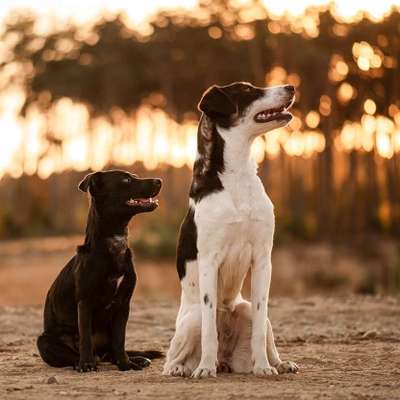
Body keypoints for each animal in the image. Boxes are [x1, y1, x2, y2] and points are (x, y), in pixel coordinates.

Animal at [164, 82, 298, 378]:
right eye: (247, 90)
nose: (291, 86)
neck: (237, 175)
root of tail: (225, 359)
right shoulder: (209, 261)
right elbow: (208, 333)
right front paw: (204, 368)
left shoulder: (263, 259)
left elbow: (259, 326)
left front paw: (263, 367)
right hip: (193, 319)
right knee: (177, 351)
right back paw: (183, 367)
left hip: (247, 310)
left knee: (264, 328)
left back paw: (279, 364)